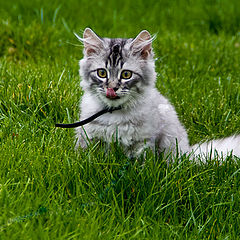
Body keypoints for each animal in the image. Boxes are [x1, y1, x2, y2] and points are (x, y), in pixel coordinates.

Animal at [75, 27, 240, 159]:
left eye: (126, 75)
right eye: (102, 73)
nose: (112, 88)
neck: (114, 114)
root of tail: (189, 154)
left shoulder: (142, 142)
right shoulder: (88, 138)